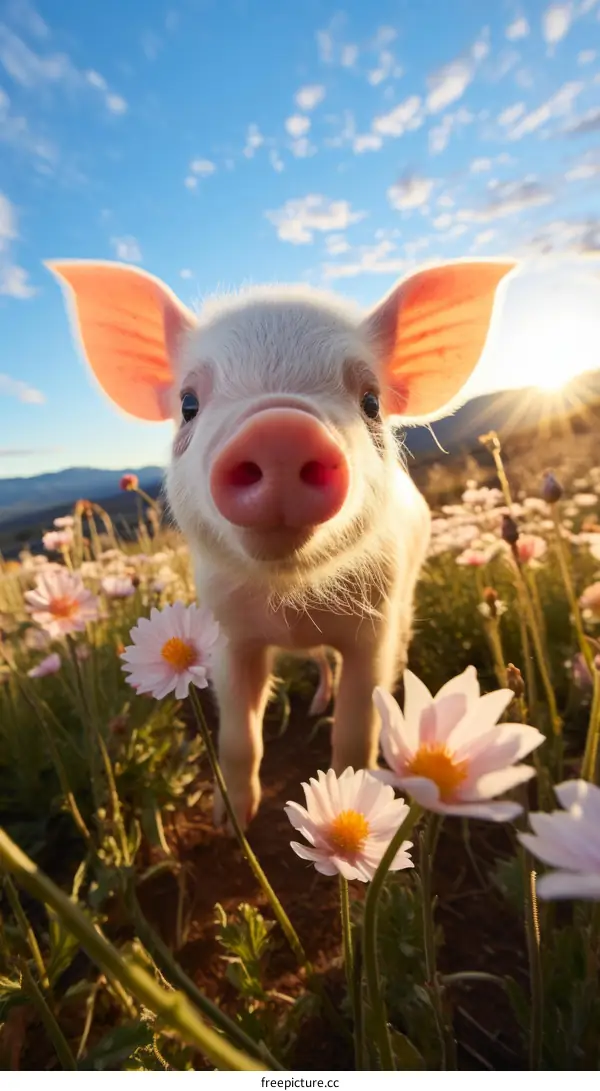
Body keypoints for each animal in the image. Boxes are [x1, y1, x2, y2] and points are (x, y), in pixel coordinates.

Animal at [47, 257, 515, 830]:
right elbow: (238, 736)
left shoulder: (372, 628)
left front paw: (351, 796)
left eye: (371, 402)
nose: (280, 430)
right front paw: (231, 823)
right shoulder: (228, 633)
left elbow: (357, 730)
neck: (291, 600)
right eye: (188, 403)